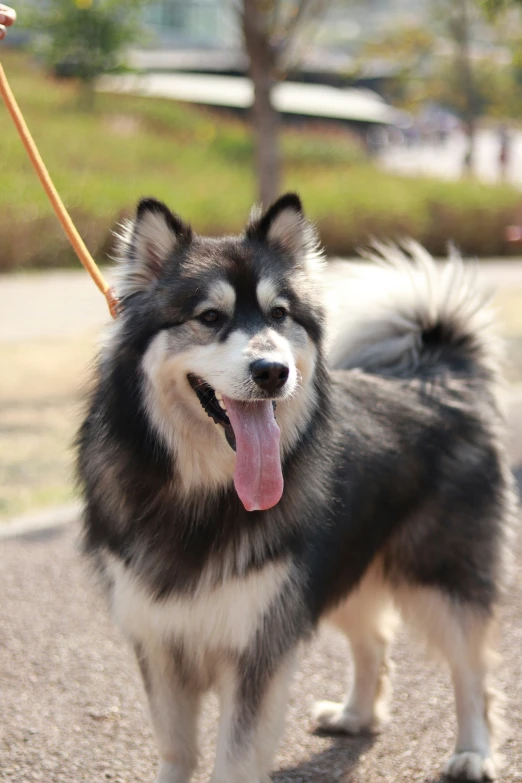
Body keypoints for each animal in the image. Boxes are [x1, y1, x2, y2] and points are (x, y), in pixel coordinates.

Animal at [77, 191, 516, 783]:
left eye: (279, 315)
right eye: (209, 317)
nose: (272, 371)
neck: (202, 494)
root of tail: (439, 374)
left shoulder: (259, 646)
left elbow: (235, 757)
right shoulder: (160, 639)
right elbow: (176, 749)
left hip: (440, 577)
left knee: (472, 670)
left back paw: (473, 751)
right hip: (341, 567)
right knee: (375, 641)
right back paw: (356, 715)